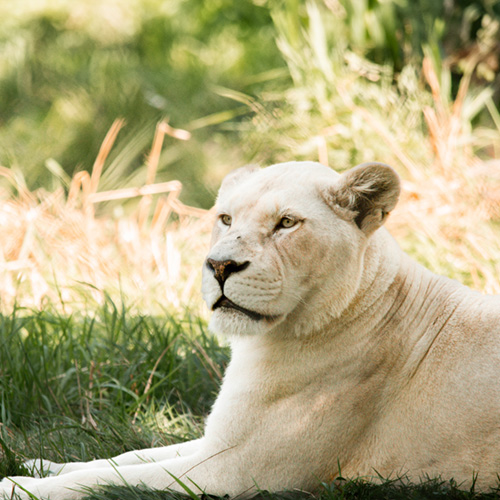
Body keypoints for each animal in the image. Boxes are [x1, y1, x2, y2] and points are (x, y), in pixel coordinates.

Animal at [0, 161, 500, 500]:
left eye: (286, 223)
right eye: (225, 219)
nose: (220, 265)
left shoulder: (237, 472)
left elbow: (107, 479)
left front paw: (16, 484)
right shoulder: (220, 440)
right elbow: (123, 458)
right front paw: (39, 462)